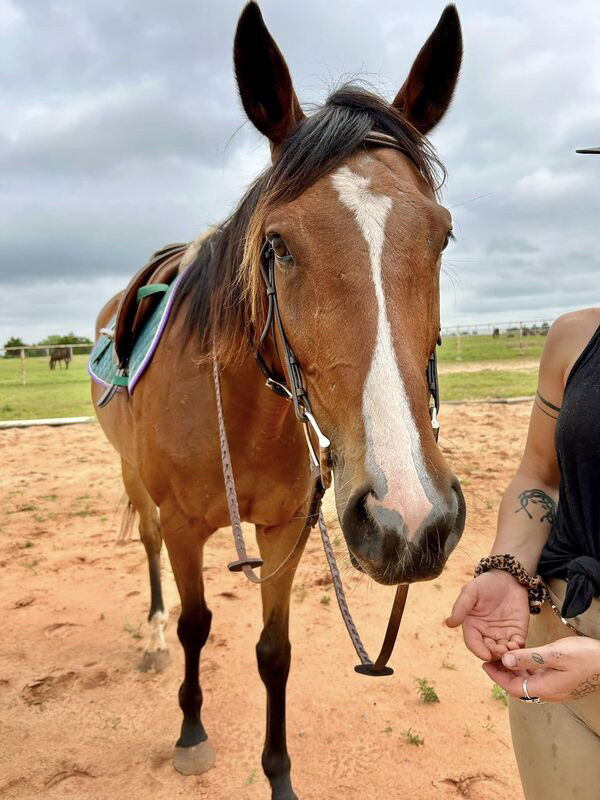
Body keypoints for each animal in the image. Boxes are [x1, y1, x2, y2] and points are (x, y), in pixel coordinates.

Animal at [90, 3, 464, 796]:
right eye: (279, 244)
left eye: (442, 236)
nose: (410, 516)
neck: (243, 415)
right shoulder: (185, 527)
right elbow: (199, 623)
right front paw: (192, 730)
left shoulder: (287, 528)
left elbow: (274, 652)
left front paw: (279, 773)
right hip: (136, 481)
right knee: (148, 550)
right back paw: (152, 636)